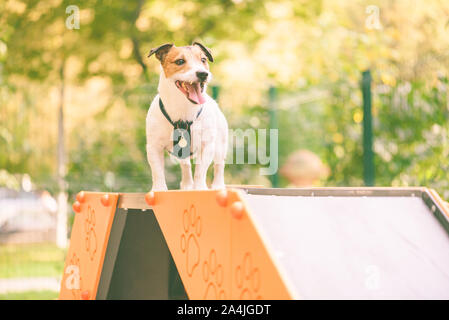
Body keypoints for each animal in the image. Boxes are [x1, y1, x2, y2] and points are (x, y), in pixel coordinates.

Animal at [146, 43, 228, 191]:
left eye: (203, 60)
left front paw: (199, 188)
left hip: (220, 145)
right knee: (186, 165)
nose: (203, 74)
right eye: (180, 61)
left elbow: (201, 170)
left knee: (219, 165)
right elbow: (157, 171)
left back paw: (218, 185)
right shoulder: (154, 147)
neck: (183, 110)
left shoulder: (207, 145)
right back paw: (187, 185)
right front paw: (159, 189)